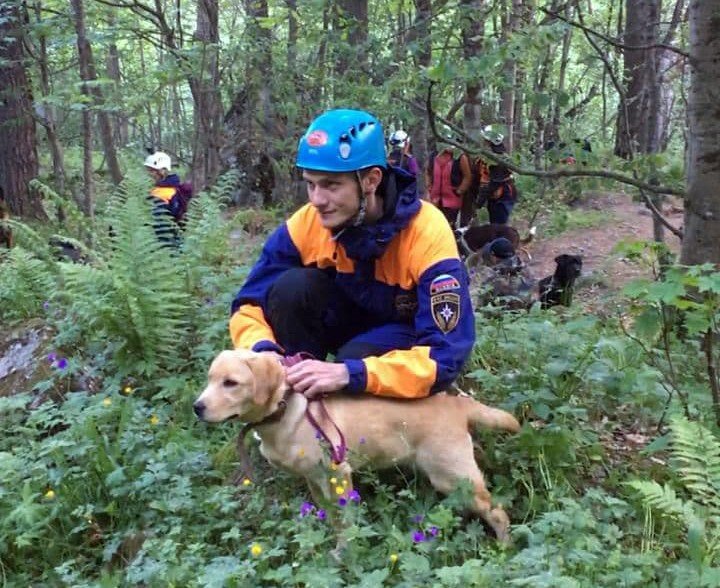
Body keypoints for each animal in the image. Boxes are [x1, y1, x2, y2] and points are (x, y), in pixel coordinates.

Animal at [194, 350, 520, 544]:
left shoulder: (338, 474)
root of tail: (457, 404)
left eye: (231, 383)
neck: (283, 410)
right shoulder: (314, 480)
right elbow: (330, 517)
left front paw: (344, 550)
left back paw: (503, 549)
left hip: (453, 476)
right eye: (209, 379)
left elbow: (345, 521)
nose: (197, 407)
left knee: (498, 512)